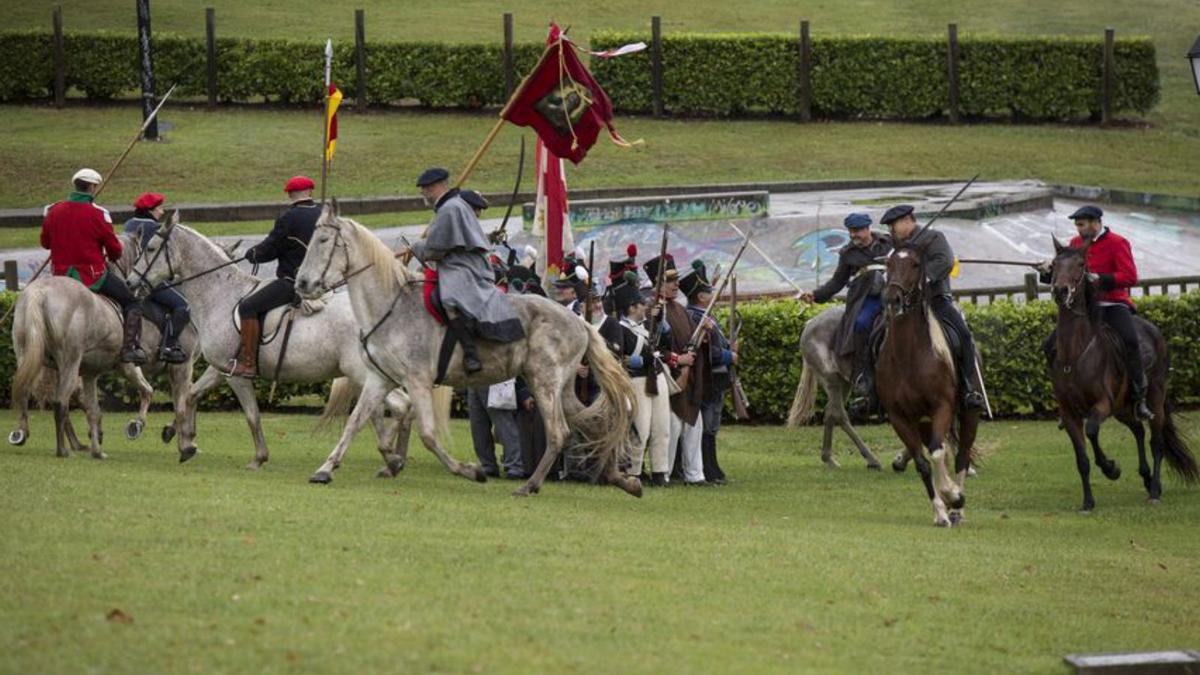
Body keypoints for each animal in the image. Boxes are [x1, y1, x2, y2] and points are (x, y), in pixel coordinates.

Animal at [131, 214, 427, 473]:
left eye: (151, 248)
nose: (133, 282)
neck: (221, 294)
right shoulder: (221, 368)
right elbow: (190, 395)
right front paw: (184, 440)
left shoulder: (236, 375)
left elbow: (252, 414)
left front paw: (258, 458)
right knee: (389, 410)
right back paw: (393, 456)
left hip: (365, 373)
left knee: (397, 407)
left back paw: (390, 456)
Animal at [291, 205, 643, 494]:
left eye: (323, 240)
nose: (302, 284)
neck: (392, 307)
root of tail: (578, 321)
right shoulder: (380, 379)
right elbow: (355, 422)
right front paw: (327, 469)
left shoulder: (418, 380)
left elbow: (428, 434)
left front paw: (469, 470)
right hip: (562, 386)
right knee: (595, 423)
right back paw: (621, 479)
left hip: (544, 382)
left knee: (559, 432)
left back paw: (530, 485)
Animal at [878, 241, 979, 526]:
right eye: (888, 264)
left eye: (915, 264)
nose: (892, 299)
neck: (908, 355)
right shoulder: (900, 417)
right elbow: (924, 463)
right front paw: (940, 511)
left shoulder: (942, 407)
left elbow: (936, 453)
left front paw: (953, 496)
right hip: (923, 423)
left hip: (969, 413)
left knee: (961, 456)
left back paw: (958, 509)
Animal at [1046, 239, 1195, 506]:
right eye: (1054, 264)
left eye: (1081, 264)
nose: (1061, 291)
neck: (1075, 354)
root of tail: (1154, 331)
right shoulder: (1070, 413)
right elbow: (1082, 460)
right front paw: (1088, 502)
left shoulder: (1102, 404)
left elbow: (1092, 431)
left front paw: (1111, 468)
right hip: (1123, 407)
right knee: (1137, 429)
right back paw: (1146, 477)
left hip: (1154, 396)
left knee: (1156, 441)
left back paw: (1154, 490)